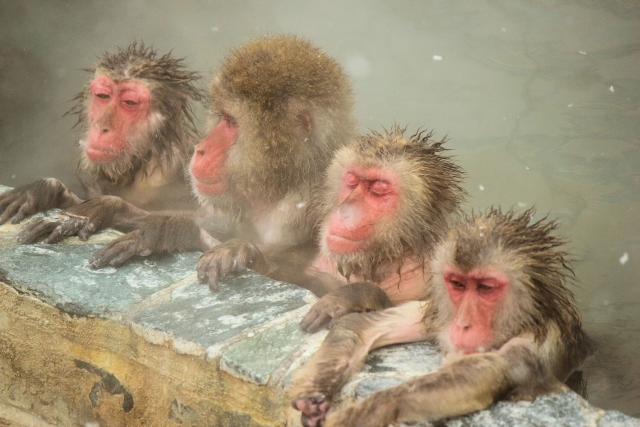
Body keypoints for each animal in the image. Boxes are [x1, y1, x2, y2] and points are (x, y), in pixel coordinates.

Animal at [0, 42, 203, 240]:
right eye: (103, 96)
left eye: (130, 102)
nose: (102, 127)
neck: (144, 159)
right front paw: (46, 189)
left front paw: (101, 208)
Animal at [84, 35, 358, 294]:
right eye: (223, 117)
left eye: (232, 122)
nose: (201, 149)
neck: (282, 184)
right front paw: (130, 213)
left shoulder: (304, 213)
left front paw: (238, 250)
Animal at [288, 207, 593, 427]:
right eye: (457, 284)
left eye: (485, 288)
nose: (462, 323)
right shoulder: (438, 311)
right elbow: (363, 324)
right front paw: (313, 393)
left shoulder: (540, 340)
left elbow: (481, 375)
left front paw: (364, 411)